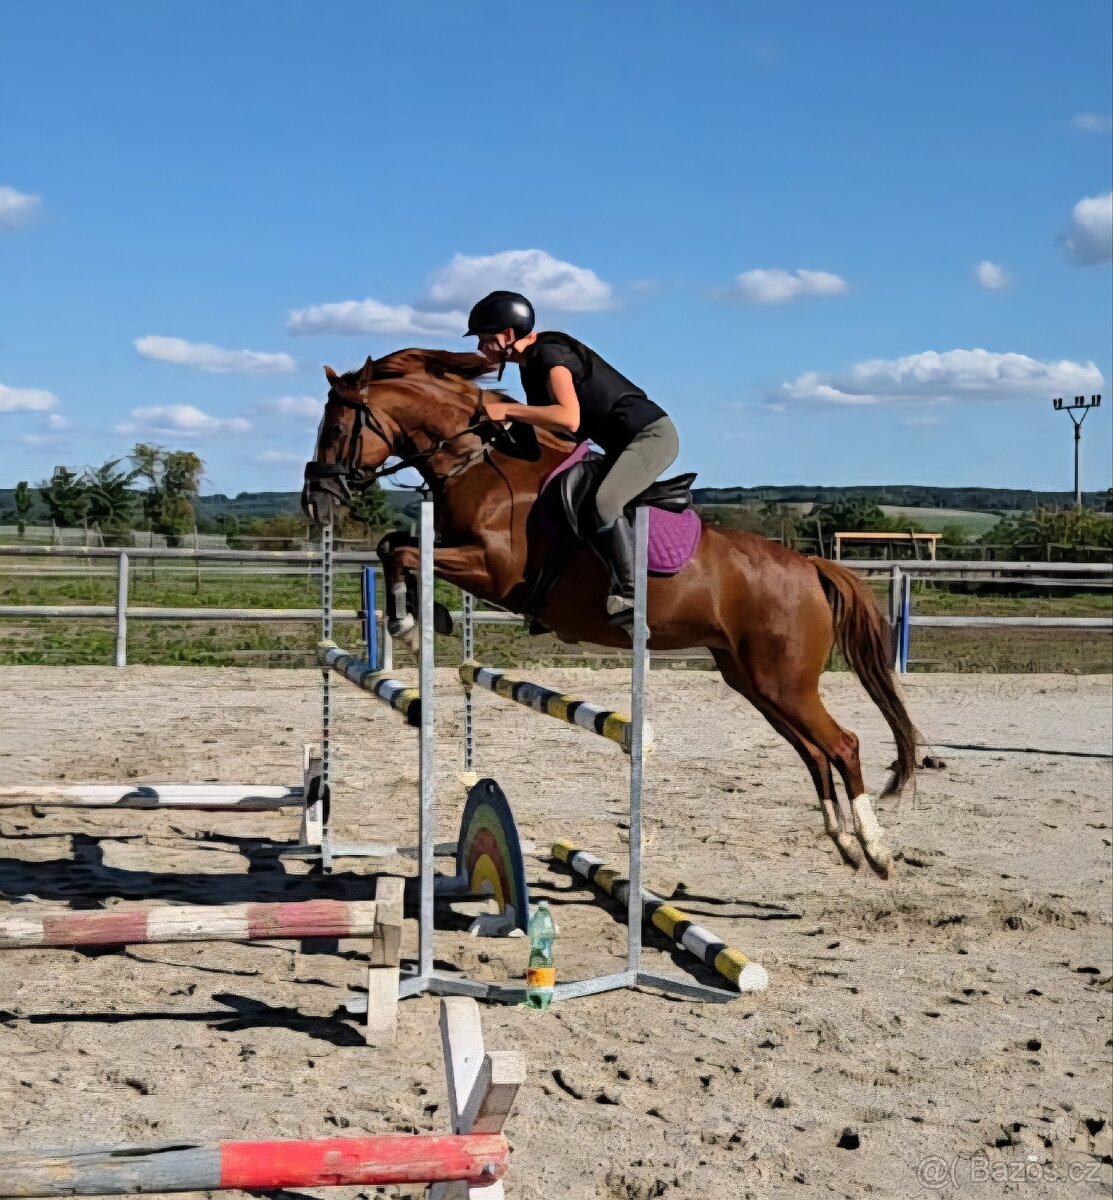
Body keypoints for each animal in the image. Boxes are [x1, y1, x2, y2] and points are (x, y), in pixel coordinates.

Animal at [302, 348, 919, 878]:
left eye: (334, 428)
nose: (317, 499)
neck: (479, 465)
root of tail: (808, 565)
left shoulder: (495, 570)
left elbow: (403, 549)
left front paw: (411, 624)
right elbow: (394, 543)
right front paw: (425, 617)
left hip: (784, 680)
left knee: (842, 745)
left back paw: (876, 849)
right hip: (755, 681)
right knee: (813, 751)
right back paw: (844, 844)